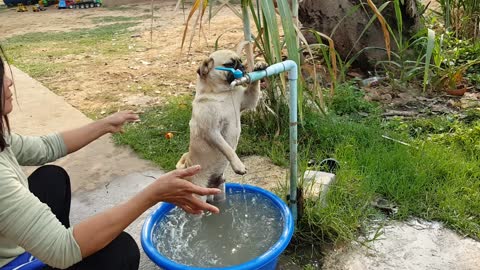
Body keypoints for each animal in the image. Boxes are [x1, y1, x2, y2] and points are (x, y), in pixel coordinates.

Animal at [175, 50, 266, 202]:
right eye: (229, 64)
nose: (242, 66)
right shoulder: (212, 131)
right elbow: (228, 149)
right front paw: (238, 165)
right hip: (198, 195)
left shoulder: (247, 99)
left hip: (220, 192)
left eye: (240, 60)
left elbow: (253, 87)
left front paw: (259, 65)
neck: (222, 93)